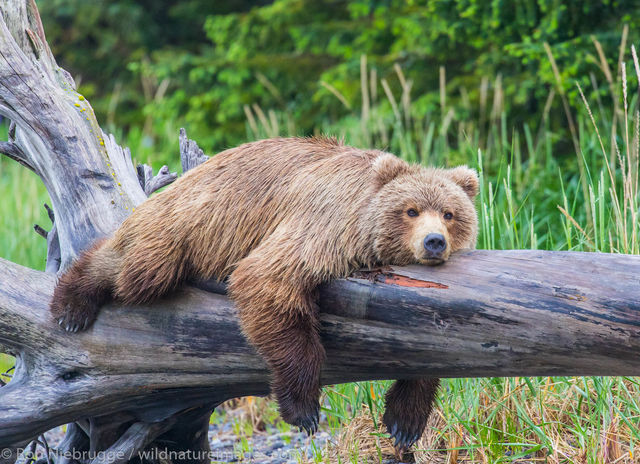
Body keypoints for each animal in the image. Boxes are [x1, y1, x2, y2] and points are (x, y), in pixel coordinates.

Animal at [50, 137, 478, 450]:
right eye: (411, 210)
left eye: (450, 213)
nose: (435, 242)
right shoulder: (325, 227)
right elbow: (268, 282)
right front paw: (304, 409)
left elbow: (429, 348)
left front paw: (405, 421)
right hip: (188, 225)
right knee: (137, 270)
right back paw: (72, 304)